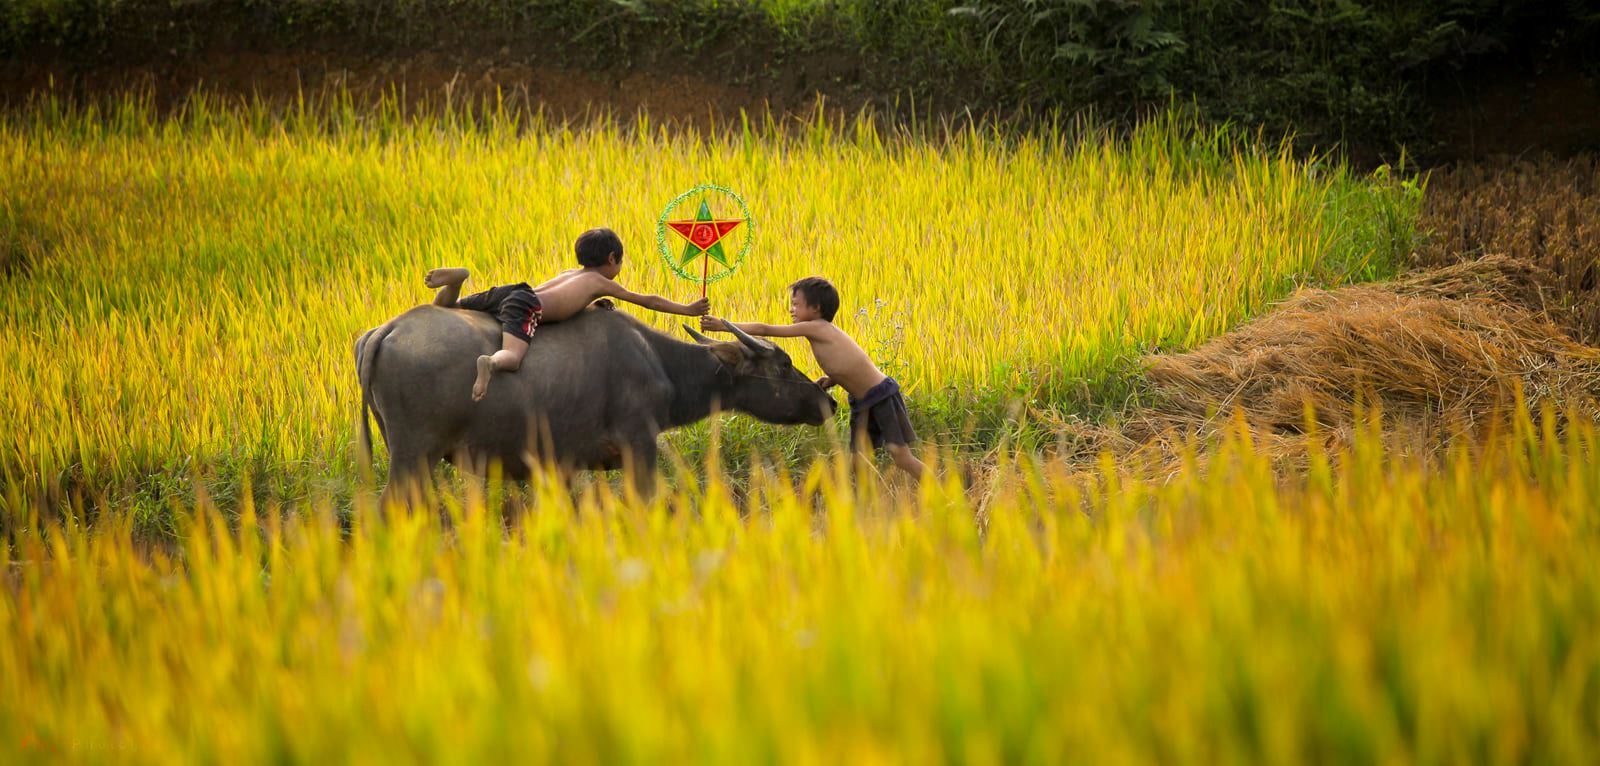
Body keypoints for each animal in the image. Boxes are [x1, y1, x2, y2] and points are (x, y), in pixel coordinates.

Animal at [355, 302, 838, 502]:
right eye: (783, 364)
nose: (825, 402)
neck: (660, 364)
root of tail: (388, 330)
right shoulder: (639, 445)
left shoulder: (563, 464)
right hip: (414, 455)